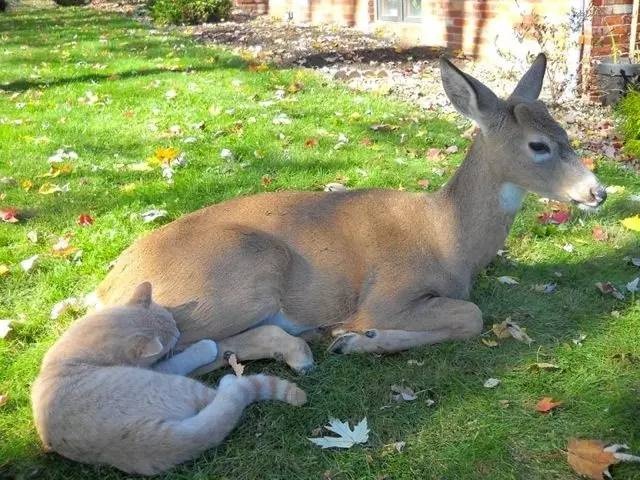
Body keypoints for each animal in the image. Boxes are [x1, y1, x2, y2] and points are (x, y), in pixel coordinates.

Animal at [31, 284, 308, 474]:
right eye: (172, 338)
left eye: (173, 322)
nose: (179, 333)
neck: (82, 350)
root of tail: (138, 441)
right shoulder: (163, 368)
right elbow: (183, 359)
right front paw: (205, 346)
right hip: (181, 386)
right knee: (228, 397)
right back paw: (229, 379)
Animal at [92, 55, 608, 376]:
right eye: (538, 146)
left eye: (565, 133)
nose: (598, 191)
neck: (448, 238)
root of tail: (107, 286)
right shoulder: (387, 293)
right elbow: (471, 315)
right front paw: (357, 338)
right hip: (238, 274)